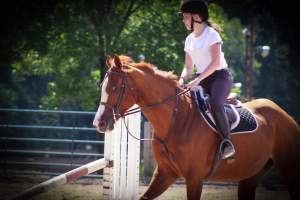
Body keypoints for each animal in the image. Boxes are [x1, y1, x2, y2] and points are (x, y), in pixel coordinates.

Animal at [94, 55, 300, 200]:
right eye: (102, 86)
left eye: (113, 88)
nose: (99, 123)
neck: (175, 120)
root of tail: (286, 116)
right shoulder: (166, 173)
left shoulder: (194, 179)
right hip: (251, 176)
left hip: (289, 168)